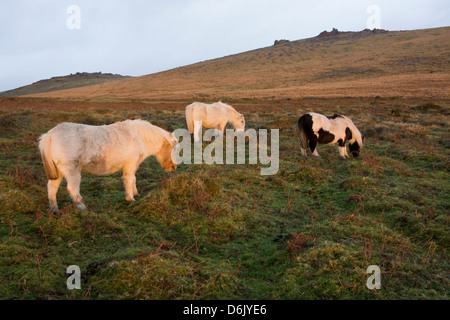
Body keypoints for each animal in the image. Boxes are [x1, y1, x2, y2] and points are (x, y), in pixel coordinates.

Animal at [38, 119, 178, 212]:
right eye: (174, 148)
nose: (174, 167)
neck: (138, 137)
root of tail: (49, 135)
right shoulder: (130, 165)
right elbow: (129, 180)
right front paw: (130, 199)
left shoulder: (133, 166)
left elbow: (133, 179)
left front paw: (136, 193)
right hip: (72, 172)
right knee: (73, 190)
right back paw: (83, 208)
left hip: (58, 172)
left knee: (52, 187)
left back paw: (54, 209)